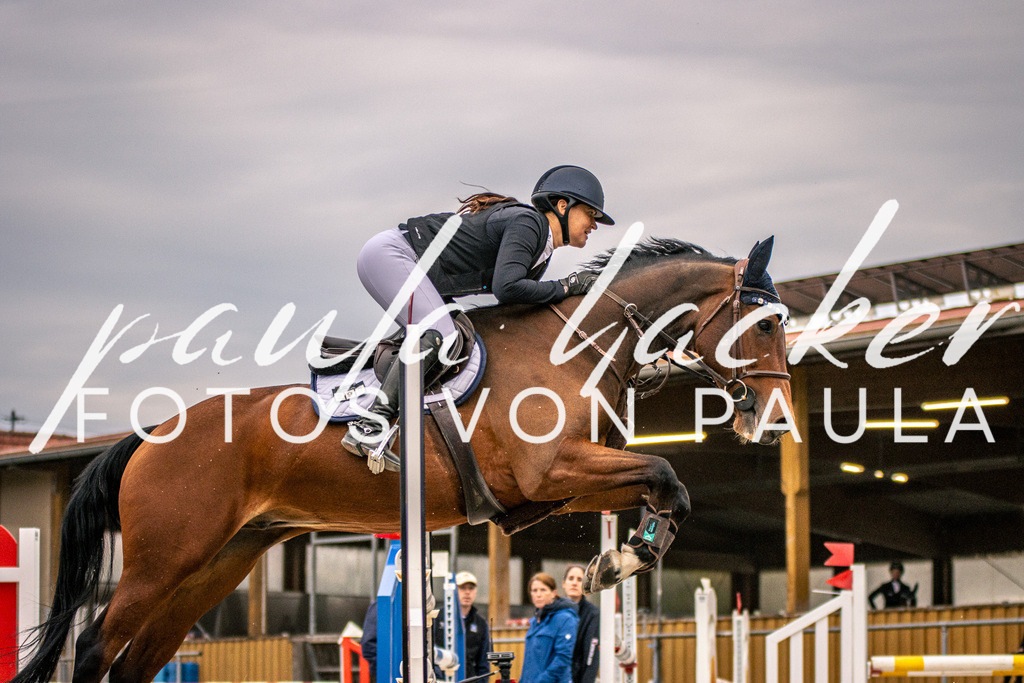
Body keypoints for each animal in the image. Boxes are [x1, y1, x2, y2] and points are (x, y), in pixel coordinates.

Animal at [15, 236, 793, 683]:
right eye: (764, 325)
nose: (776, 419)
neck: (576, 342)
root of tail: (150, 436)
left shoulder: (556, 485)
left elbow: (667, 486)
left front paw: (621, 557)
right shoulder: (555, 469)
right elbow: (666, 473)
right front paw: (622, 560)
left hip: (217, 561)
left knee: (138, 660)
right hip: (164, 559)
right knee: (95, 649)